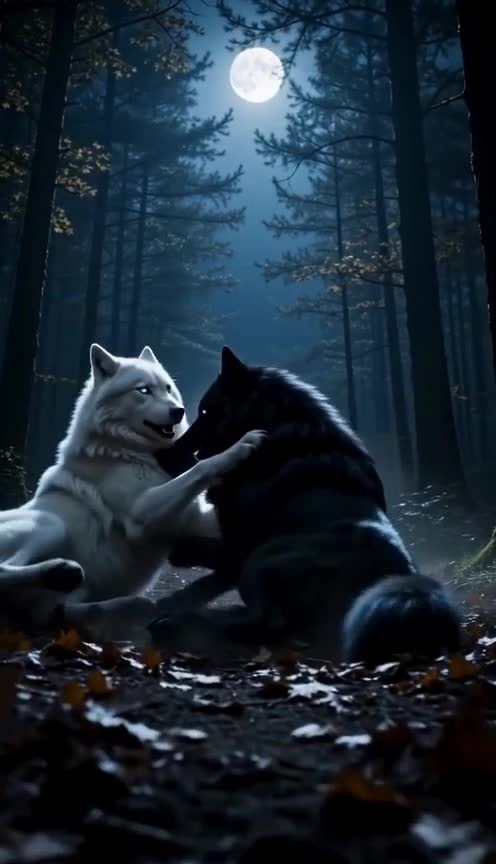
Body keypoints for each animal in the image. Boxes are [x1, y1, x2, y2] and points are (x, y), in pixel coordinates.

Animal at [0, 344, 264, 640]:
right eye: (144, 390)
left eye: (168, 388)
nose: (179, 411)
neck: (128, 451)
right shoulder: (142, 518)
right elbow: (201, 467)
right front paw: (242, 446)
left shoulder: (193, 520)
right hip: (50, 523)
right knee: (4, 572)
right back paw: (61, 570)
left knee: (66, 610)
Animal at [150, 346, 461, 663]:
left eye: (205, 411)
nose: (167, 447)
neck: (278, 429)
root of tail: (406, 582)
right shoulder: (236, 552)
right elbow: (210, 579)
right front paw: (175, 596)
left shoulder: (242, 544)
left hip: (265, 556)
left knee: (269, 623)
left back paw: (177, 625)